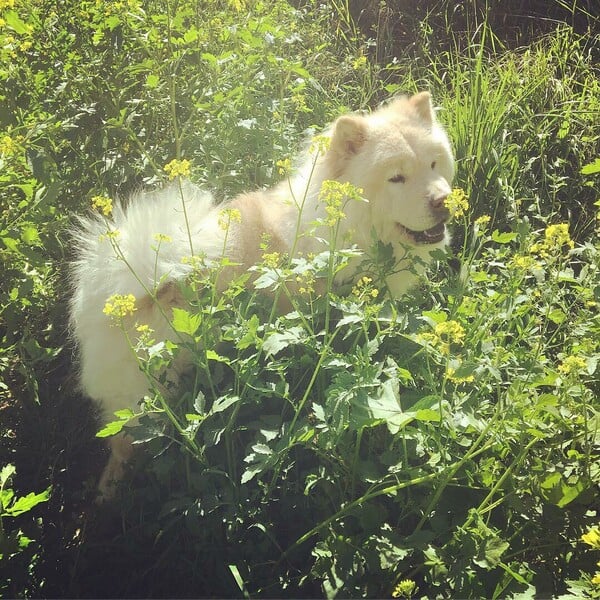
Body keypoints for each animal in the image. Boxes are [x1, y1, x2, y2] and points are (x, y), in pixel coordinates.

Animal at [69, 92, 454, 496]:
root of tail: (126, 290)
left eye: (433, 164)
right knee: (125, 443)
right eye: (396, 177)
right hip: (149, 393)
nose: (444, 199)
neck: (343, 228)